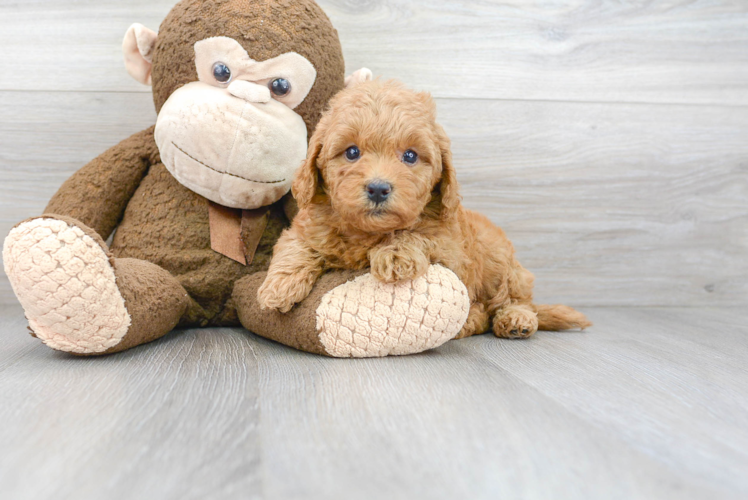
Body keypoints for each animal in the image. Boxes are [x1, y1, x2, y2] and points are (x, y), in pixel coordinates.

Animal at [258, 80, 592, 338]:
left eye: (410, 156)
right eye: (351, 152)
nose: (378, 188)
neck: (367, 233)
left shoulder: (450, 248)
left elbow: (416, 234)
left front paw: (395, 254)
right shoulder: (307, 226)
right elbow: (296, 246)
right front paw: (278, 286)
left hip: (501, 262)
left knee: (510, 300)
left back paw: (514, 319)